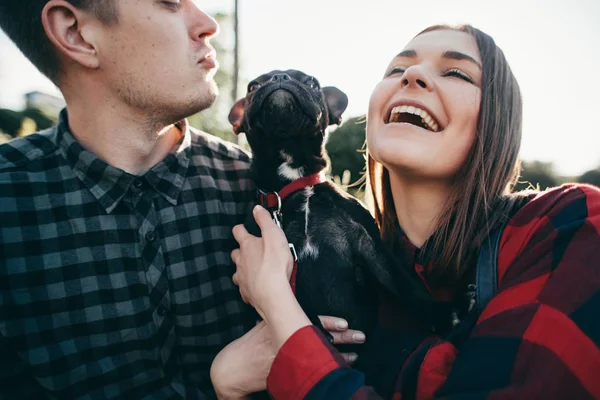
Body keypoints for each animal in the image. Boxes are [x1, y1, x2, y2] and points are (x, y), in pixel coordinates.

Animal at [230, 69, 446, 344]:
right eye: (252, 86)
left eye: (312, 83)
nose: (280, 77)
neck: (298, 184)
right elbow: (293, 301)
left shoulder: (371, 244)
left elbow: (402, 283)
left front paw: (444, 313)